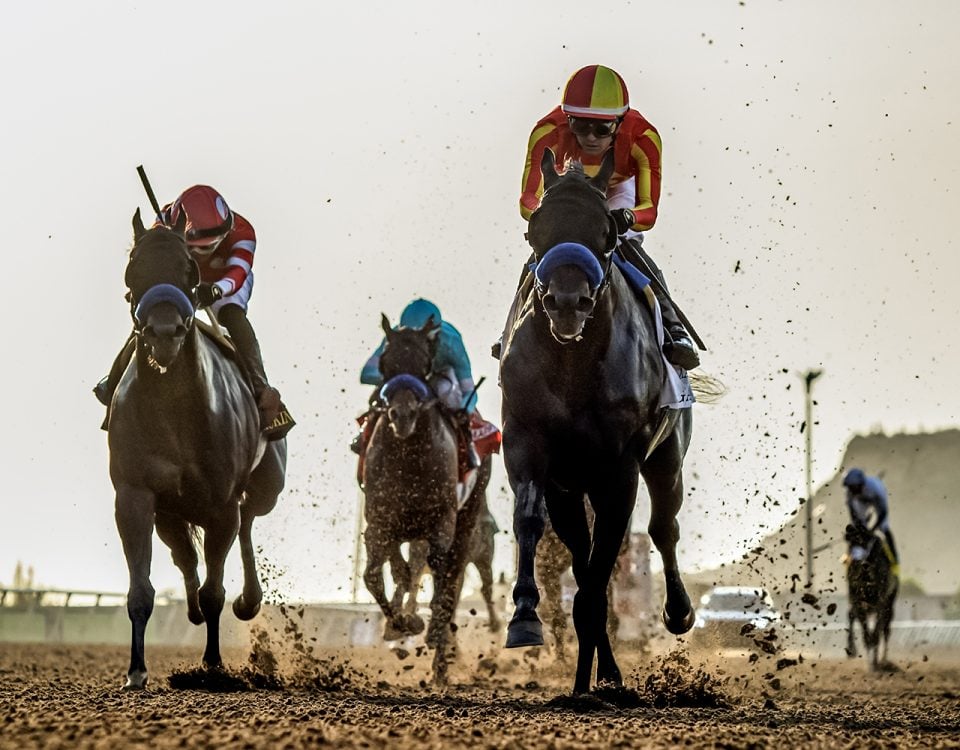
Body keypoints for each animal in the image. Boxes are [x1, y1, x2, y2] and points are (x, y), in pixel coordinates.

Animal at [107, 209, 284, 692]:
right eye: (132, 268)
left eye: (190, 270)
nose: (165, 332)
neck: (174, 407)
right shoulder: (135, 495)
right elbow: (141, 589)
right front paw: (136, 671)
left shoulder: (221, 503)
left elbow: (214, 592)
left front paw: (213, 664)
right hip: (170, 511)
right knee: (185, 555)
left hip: (267, 486)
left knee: (247, 521)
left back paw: (249, 600)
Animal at [360, 314, 484, 684]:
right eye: (385, 364)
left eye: (425, 363)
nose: (402, 415)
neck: (409, 458)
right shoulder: (379, 521)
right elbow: (374, 575)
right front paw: (402, 623)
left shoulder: (442, 522)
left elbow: (441, 581)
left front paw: (433, 637)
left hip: (467, 521)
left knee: (451, 581)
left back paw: (440, 659)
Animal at [498, 150, 692, 696]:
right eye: (535, 230)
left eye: (606, 230)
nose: (567, 302)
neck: (573, 364)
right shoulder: (529, 447)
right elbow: (533, 523)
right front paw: (525, 619)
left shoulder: (620, 470)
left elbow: (608, 560)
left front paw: (597, 679)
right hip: (570, 487)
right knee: (584, 558)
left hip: (668, 458)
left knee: (663, 527)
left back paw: (677, 613)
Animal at [844, 524, 896, 672]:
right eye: (854, 544)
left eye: (873, 545)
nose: (865, 564)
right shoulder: (858, 603)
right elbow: (866, 635)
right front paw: (870, 665)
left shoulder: (881, 604)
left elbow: (876, 634)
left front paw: (874, 664)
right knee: (851, 615)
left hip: (890, 604)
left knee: (886, 630)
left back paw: (883, 661)